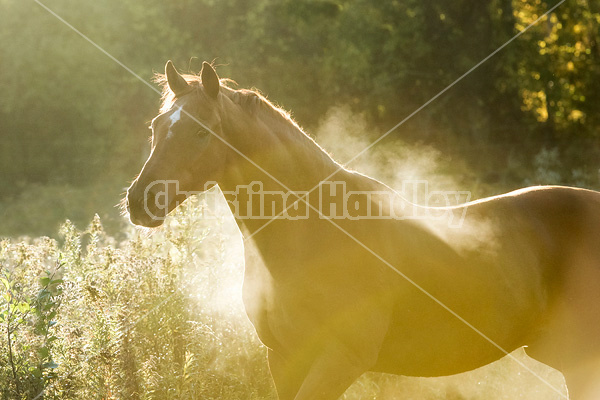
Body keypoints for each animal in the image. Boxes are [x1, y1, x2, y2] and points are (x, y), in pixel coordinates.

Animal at [125, 61, 600, 398]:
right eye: (155, 127)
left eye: (201, 133)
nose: (140, 200)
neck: (314, 234)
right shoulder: (284, 359)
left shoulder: (340, 360)